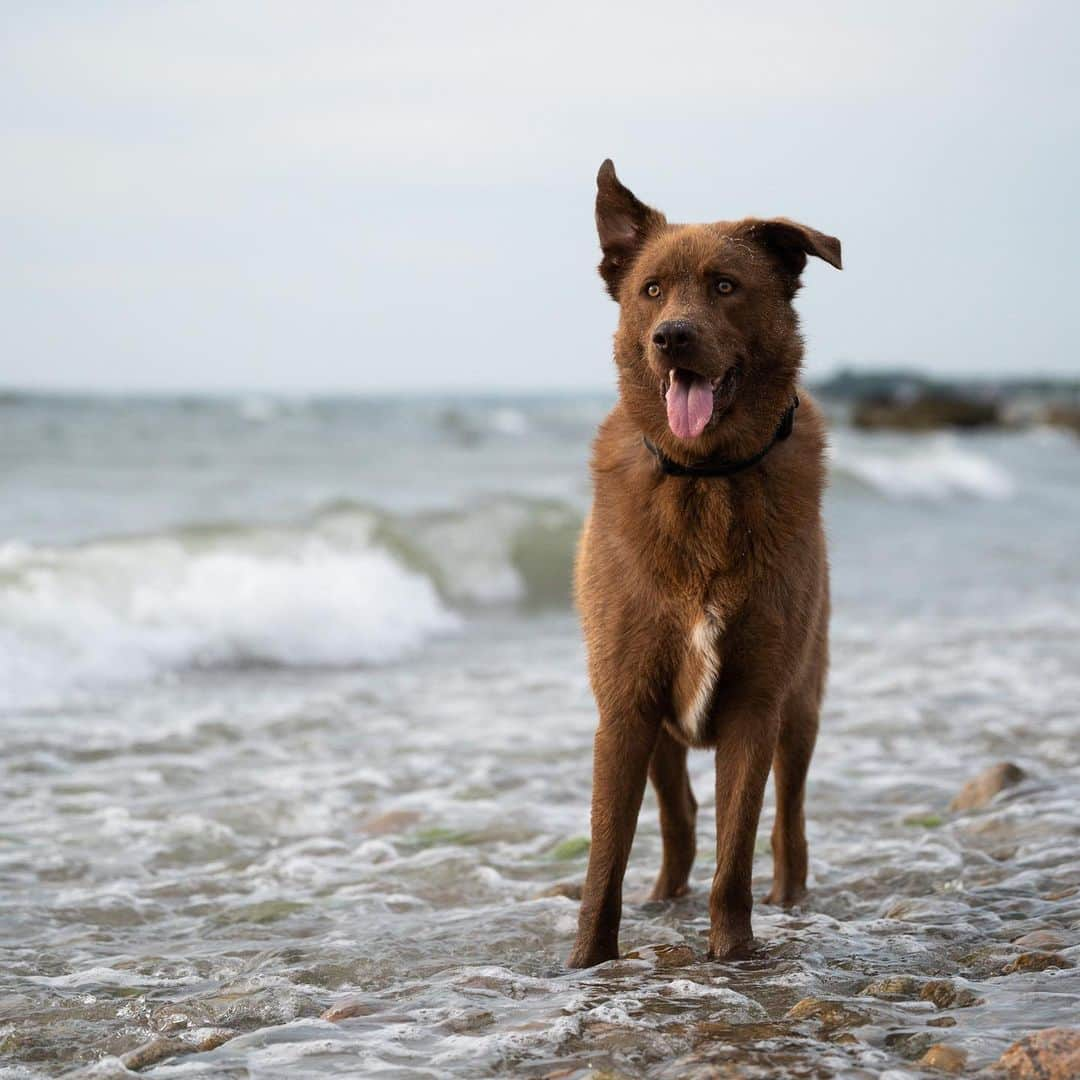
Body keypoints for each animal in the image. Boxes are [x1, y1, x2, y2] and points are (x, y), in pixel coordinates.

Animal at [570, 162, 838, 972]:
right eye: (652, 289)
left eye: (725, 286)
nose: (672, 338)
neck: (705, 478)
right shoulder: (625, 704)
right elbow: (606, 859)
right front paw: (586, 965)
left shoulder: (756, 703)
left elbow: (736, 852)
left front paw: (734, 954)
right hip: (659, 732)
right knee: (680, 815)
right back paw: (663, 896)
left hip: (802, 705)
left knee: (787, 819)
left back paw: (791, 898)